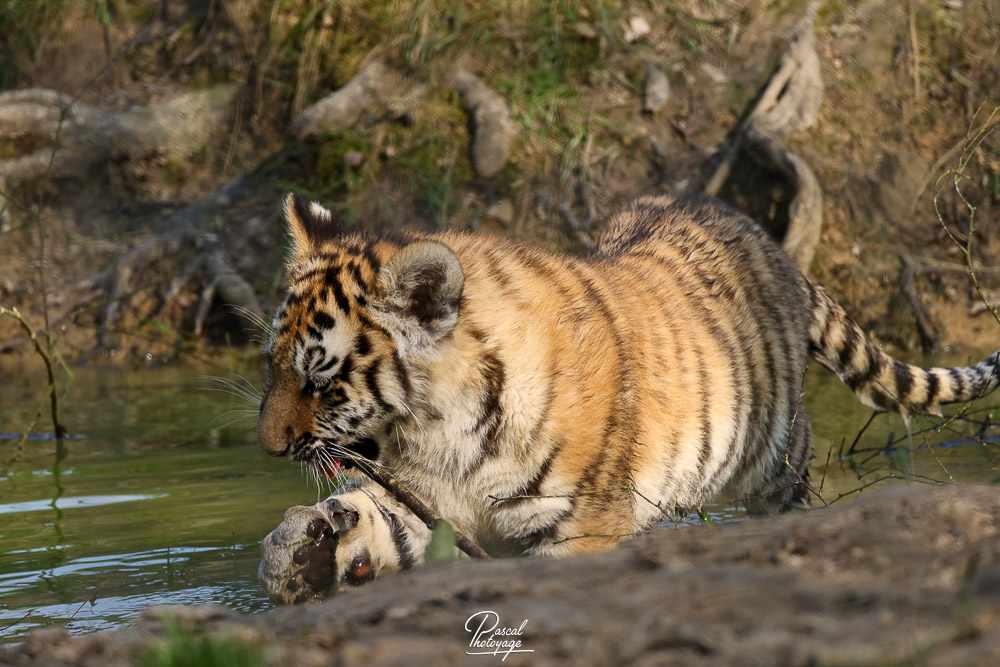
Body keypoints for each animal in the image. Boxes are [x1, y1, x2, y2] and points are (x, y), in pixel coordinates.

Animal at [257, 192, 1000, 604]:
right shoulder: (427, 495)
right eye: (272, 365)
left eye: (319, 379)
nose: (269, 447)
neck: (439, 434)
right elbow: (381, 519)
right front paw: (305, 549)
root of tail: (774, 246)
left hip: (776, 454)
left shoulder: (579, 527)